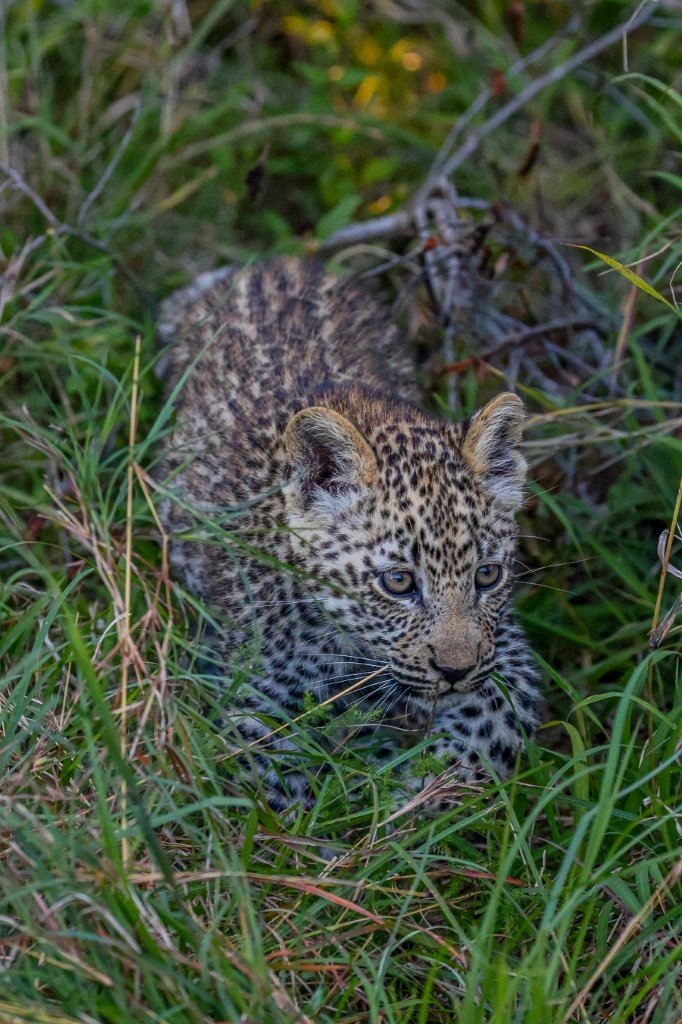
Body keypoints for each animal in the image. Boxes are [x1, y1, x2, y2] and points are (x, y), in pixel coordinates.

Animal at [157, 258, 542, 812]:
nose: (455, 672)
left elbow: (491, 729)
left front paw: (415, 796)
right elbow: (273, 787)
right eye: (398, 583)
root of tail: (277, 263)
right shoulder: (257, 687)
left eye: (487, 576)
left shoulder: (504, 653)